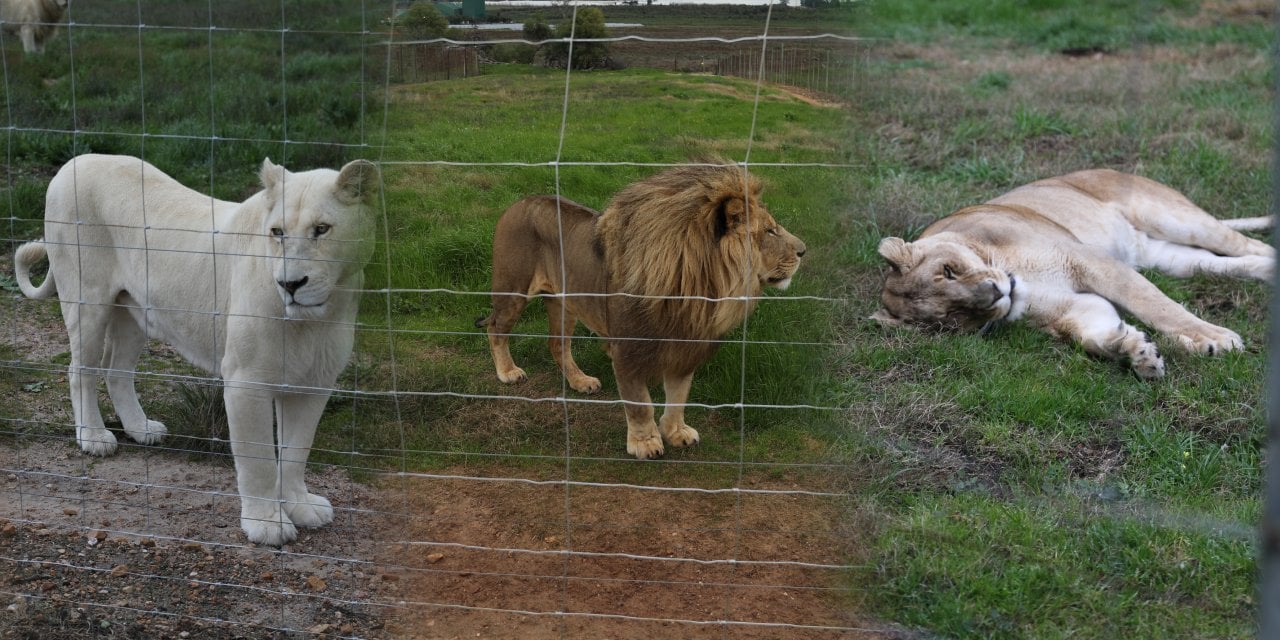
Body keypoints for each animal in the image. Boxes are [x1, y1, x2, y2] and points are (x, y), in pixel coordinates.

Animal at [15, 151, 376, 545]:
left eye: (322, 229)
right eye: (277, 232)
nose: (290, 284)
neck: (318, 316)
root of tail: (75, 161)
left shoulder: (315, 382)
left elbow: (297, 450)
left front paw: (300, 505)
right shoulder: (246, 381)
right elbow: (259, 459)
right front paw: (266, 524)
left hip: (133, 310)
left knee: (116, 370)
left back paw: (141, 428)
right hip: (87, 300)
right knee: (80, 369)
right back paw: (93, 437)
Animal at [476, 162, 803, 458]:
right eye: (771, 231)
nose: (803, 251)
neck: (697, 294)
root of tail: (519, 202)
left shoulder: (685, 349)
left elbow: (679, 396)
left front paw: (676, 432)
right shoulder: (627, 352)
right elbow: (639, 403)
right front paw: (645, 443)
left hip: (564, 301)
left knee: (557, 344)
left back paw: (581, 381)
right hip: (514, 289)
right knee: (496, 327)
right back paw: (508, 372)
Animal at [870, 170, 1269, 378]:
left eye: (949, 270)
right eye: (954, 317)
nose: (996, 293)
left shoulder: (1088, 259)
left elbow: (1157, 305)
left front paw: (1216, 339)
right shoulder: (1073, 308)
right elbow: (1091, 336)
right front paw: (1136, 353)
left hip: (1175, 219)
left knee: (1251, 245)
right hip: (1168, 257)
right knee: (1218, 262)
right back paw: (1268, 272)